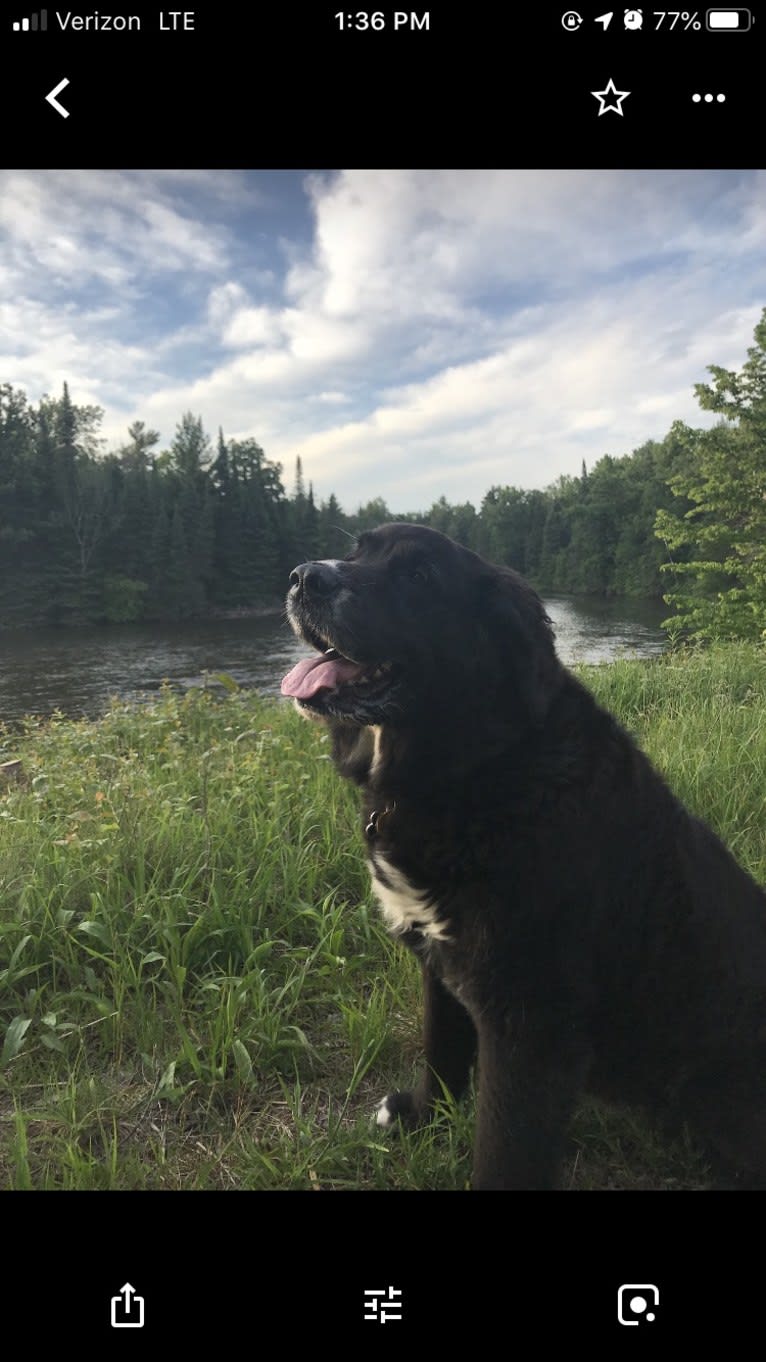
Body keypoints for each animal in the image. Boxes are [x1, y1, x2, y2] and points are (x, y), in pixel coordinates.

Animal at [280, 525, 763, 1187]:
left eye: (420, 577)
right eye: (356, 551)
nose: (305, 577)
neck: (477, 769)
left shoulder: (530, 1026)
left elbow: (504, 1149)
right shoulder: (440, 965)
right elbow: (440, 1054)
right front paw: (421, 1118)